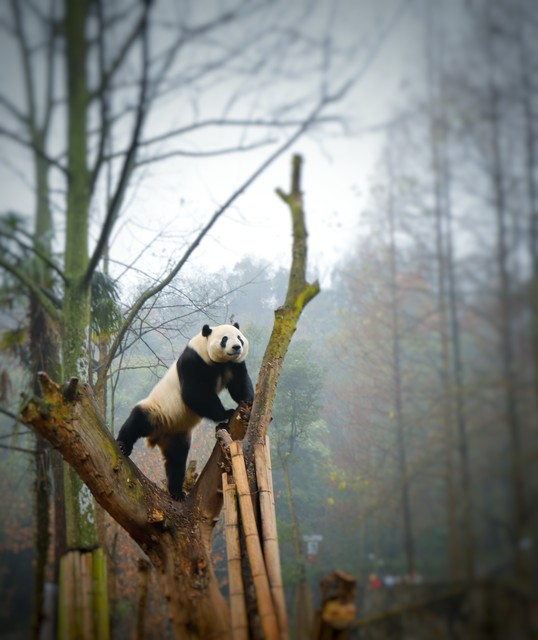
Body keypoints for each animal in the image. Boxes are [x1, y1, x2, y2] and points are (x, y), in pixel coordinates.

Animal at [115, 324, 253, 500]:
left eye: (239, 337)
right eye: (224, 339)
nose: (236, 347)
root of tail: (158, 436)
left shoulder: (234, 365)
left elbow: (239, 383)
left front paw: (248, 401)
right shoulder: (194, 362)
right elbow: (194, 393)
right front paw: (226, 413)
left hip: (177, 435)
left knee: (177, 460)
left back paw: (176, 491)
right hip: (156, 410)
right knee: (137, 421)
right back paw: (123, 445)